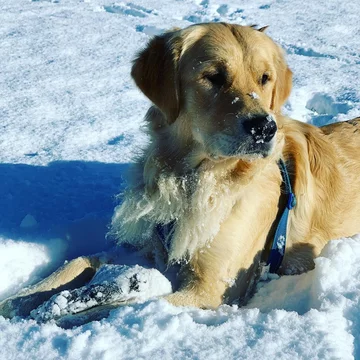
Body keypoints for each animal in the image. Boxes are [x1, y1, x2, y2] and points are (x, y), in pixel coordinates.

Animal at [0, 21, 360, 316]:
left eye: (265, 78)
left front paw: (59, 311)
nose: (263, 128)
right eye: (213, 77)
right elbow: (79, 260)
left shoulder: (210, 289)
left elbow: (122, 308)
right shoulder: (151, 247)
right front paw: (23, 299)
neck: (190, 177)